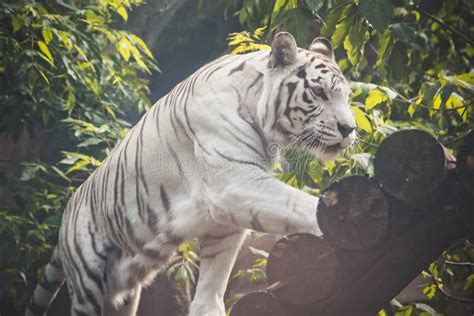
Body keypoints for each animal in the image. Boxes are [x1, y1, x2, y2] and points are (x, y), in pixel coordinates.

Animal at [24, 32, 354, 316]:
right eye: (319, 92)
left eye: (347, 97)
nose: (350, 129)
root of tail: (66, 218)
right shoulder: (234, 184)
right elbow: (297, 203)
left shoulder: (223, 225)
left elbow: (212, 282)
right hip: (87, 277)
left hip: (122, 290)